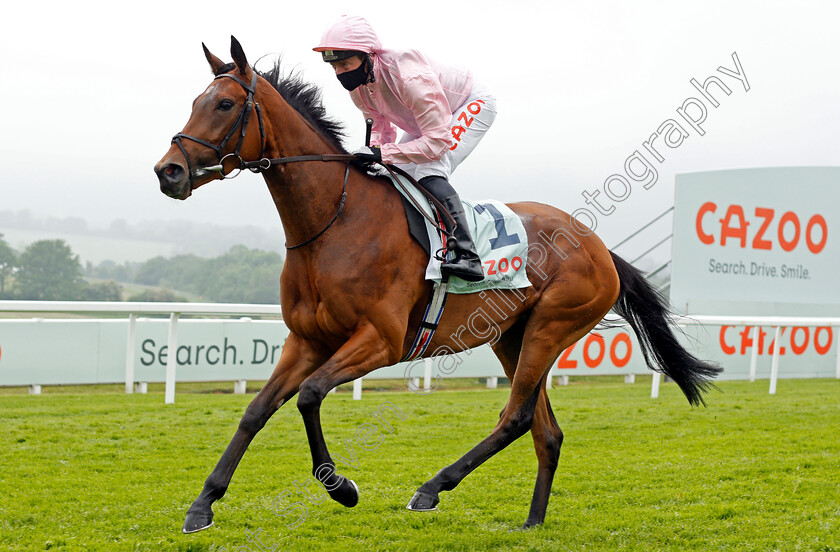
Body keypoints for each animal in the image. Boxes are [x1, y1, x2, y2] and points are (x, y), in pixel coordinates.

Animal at [154, 36, 720, 532]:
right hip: (512, 337)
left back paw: (431, 488)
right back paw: (532, 522)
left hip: (551, 327)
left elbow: (310, 395)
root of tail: (599, 246)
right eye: (195, 102)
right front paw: (203, 505)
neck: (334, 222)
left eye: (225, 104)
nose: (168, 171)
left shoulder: (380, 340)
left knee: (516, 418)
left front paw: (342, 487)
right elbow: (255, 411)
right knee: (546, 431)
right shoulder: (307, 339)